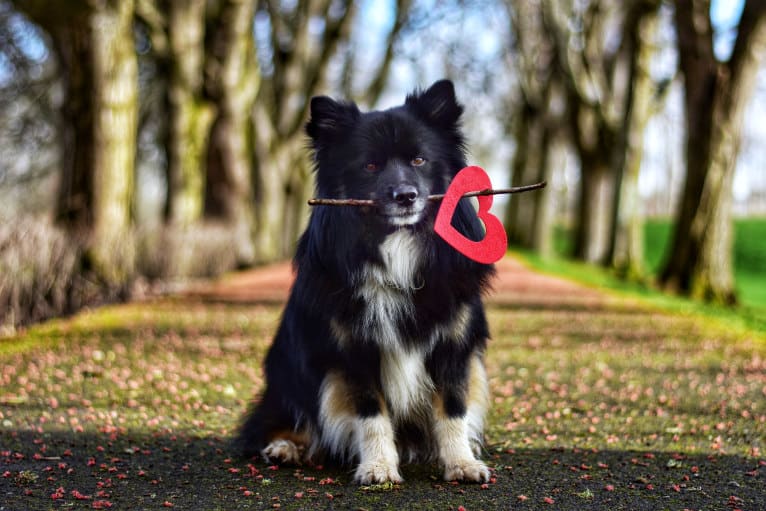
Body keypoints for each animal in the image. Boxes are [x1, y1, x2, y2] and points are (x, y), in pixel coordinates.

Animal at [237, 80, 496, 484]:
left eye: (419, 160)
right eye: (371, 165)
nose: (405, 196)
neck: (396, 246)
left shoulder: (453, 346)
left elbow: (452, 410)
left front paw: (462, 464)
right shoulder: (354, 351)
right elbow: (371, 415)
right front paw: (378, 468)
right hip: (288, 372)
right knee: (286, 420)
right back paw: (285, 447)